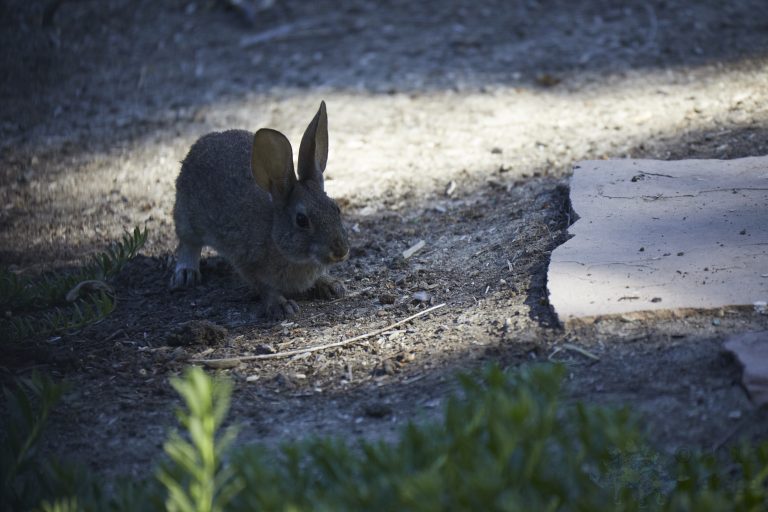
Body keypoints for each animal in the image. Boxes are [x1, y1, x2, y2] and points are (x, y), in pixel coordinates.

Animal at [170, 101, 349, 320]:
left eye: (336, 208)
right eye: (301, 220)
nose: (340, 251)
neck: (275, 236)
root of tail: (199, 145)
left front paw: (331, 285)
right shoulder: (248, 263)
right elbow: (266, 288)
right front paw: (281, 306)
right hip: (187, 216)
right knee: (188, 243)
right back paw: (186, 274)